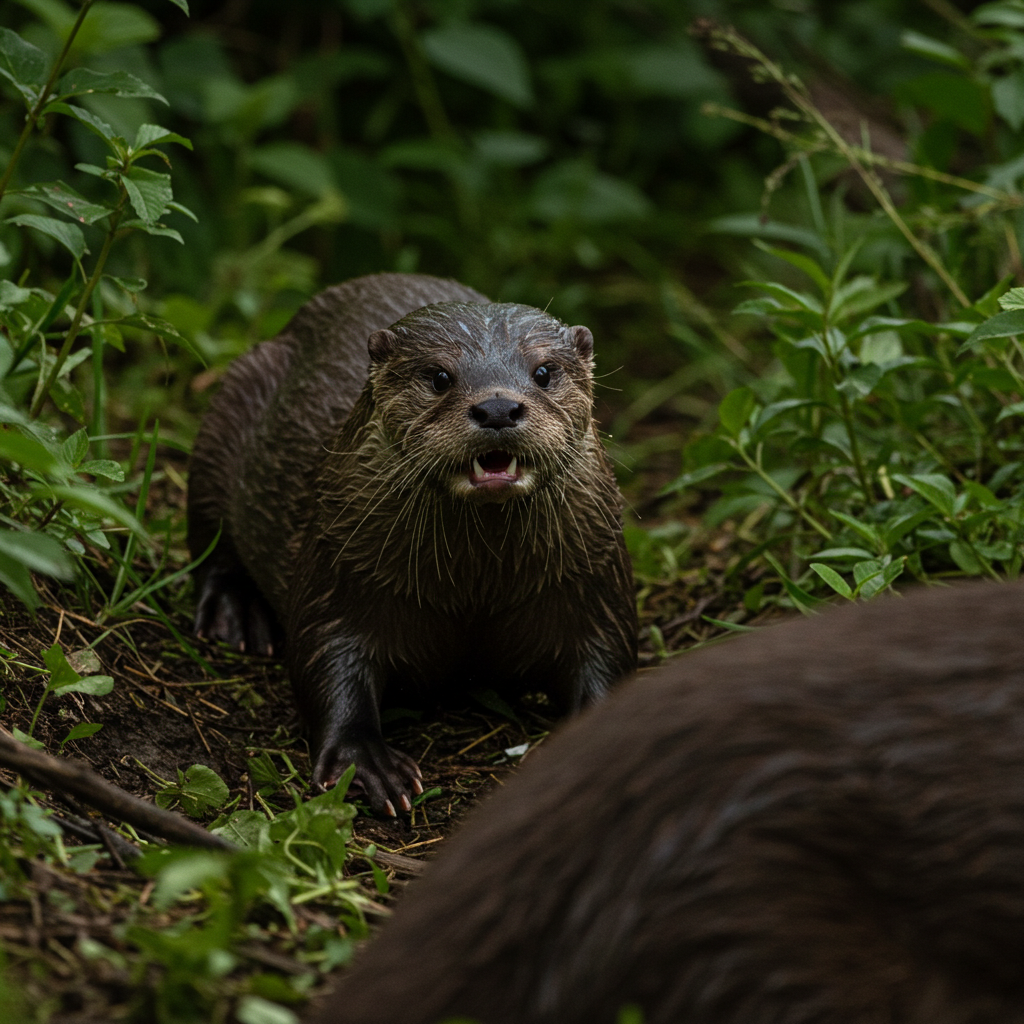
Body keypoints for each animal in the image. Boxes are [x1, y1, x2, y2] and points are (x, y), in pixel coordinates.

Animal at [187, 273, 637, 816]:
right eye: (439, 377)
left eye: (544, 371)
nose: (497, 407)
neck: (475, 590)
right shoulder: (338, 562)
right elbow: (324, 652)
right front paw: (365, 759)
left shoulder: (597, 579)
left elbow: (609, 657)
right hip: (228, 408)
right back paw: (234, 613)